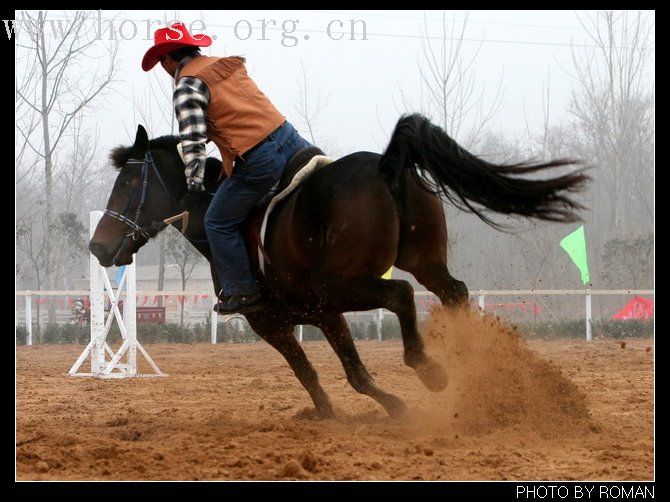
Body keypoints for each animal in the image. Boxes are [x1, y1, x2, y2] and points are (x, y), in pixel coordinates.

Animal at [89, 114, 588, 420]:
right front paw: (329, 414)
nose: (98, 245)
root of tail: (386, 163)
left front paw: (392, 409)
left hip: (347, 285)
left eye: (129, 182)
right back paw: (478, 366)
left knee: (402, 294)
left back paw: (429, 368)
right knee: (453, 291)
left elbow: (346, 373)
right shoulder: (308, 318)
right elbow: (318, 373)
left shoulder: (282, 319)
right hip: (420, 260)